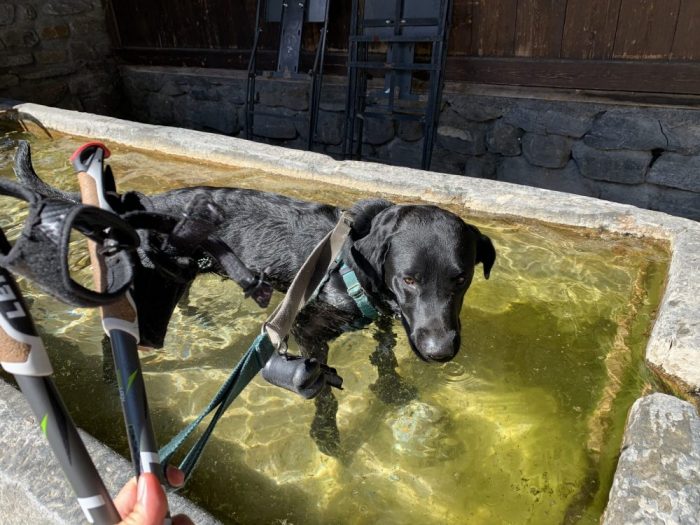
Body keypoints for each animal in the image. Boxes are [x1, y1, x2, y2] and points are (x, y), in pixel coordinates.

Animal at [13, 143, 494, 454]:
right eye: (409, 279)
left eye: (461, 279)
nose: (440, 351)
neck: (356, 264)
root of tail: (147, 201)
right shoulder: (307, 329)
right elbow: (325, 391)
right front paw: (326, 435)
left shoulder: (386, 317)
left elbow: (386, 353)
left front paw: (391, 387)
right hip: (147, 302)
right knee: (112, 334)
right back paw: (110, 378)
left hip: (181, 276)